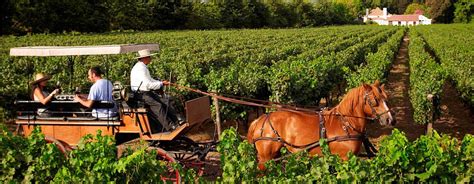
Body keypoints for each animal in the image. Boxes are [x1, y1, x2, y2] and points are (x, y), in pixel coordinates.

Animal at [246, 80, 394, 170]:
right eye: (375, 101)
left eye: (386, 98)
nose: (390, 120)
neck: (346, 124)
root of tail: (261, 119)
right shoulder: (346, 159)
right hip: (265, 158)